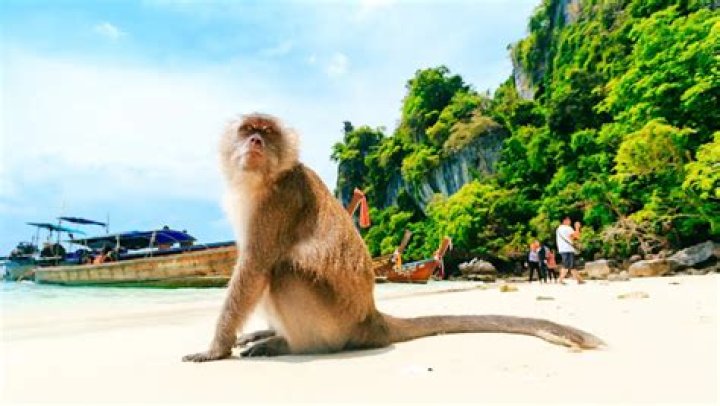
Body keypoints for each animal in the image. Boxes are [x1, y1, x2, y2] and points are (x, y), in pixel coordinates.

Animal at [182, 113, 604, 362]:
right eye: (247, 131)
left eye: (266, 133)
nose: (254, 142)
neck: (265, 178)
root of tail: (371, 319)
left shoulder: (276, 202)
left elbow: (254, 268)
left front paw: (215, 349)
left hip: (334, 323)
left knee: (282, 270)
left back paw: (289, 344)